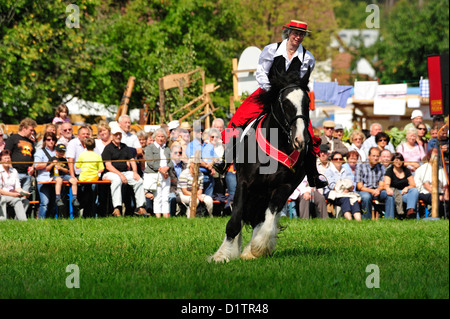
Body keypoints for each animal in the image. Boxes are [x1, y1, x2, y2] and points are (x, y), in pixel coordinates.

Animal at [209, 71, 312, 264]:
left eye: (307, 102)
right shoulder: (243, 183)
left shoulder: (284, 187)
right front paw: (221, 255)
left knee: (261, 217)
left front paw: (258, 247)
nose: (300, 140)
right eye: (285, 103)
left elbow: (269, 216)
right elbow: (235, 220)